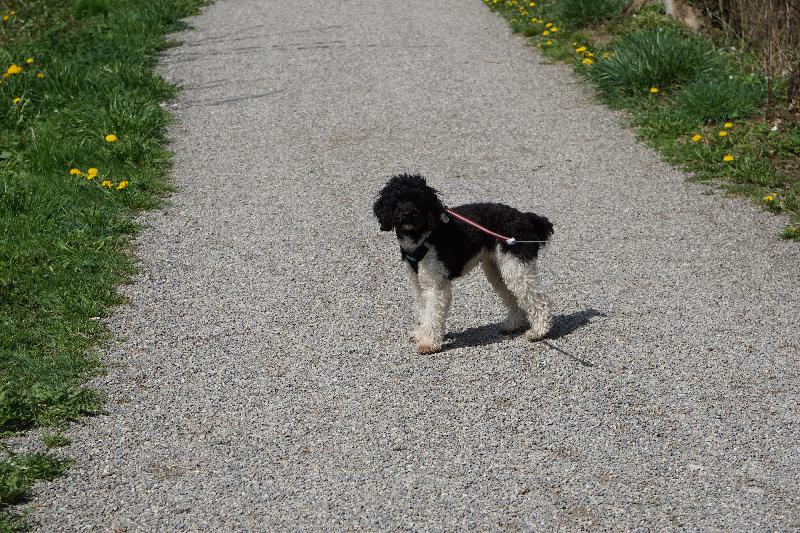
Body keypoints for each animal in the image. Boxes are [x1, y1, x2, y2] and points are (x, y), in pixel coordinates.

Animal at [373, 174, 554, 354]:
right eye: (396, 200)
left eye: (418, 199)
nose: (407, 214)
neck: (423, 236)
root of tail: (525, 218)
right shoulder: (419, 284)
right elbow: (423, 311)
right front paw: (420, 333)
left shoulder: (435, 286)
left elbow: (432, 314)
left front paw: (429, 342)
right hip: (499, 270)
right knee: (514, 298)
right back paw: (512, 325)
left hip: (516, 268)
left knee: (539, 300)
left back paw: (539, 331)